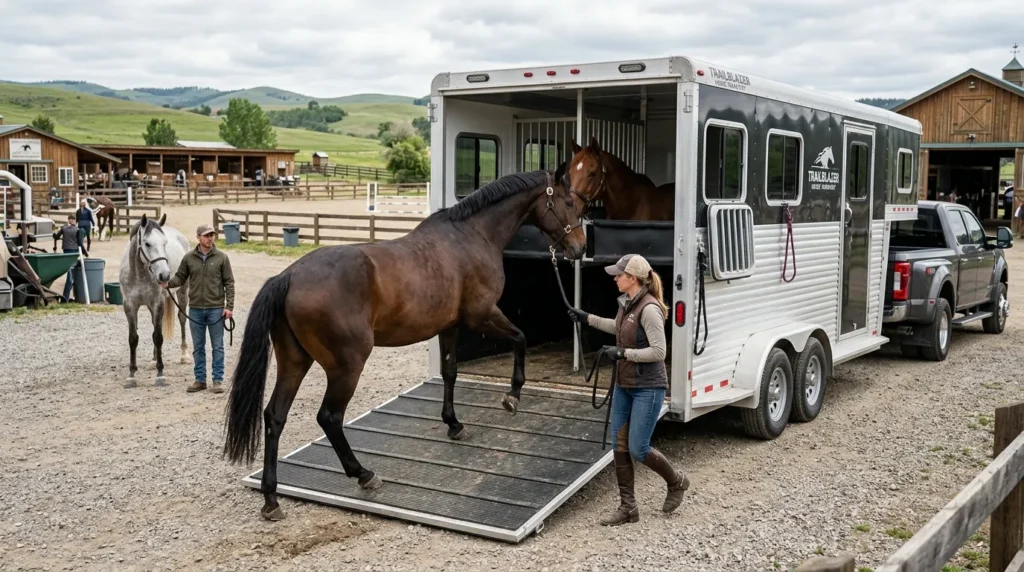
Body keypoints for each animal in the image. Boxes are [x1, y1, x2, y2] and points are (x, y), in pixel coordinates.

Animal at [119, 213, 190, 388]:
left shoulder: (158, 303)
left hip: (183, 292)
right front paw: (131, 375)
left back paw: (184, 355)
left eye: (164, 243)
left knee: (182, 319)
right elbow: (133, 338)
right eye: (147, 243)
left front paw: (160, 374)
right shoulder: (130, 306)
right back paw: (153, 359)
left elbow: (158, 337)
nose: (165, 275)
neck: (139, 273)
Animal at [222, 169, 587, 521]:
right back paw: (363, 474)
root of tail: (290, 276)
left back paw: (271, 499)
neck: (471, 235)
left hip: (295, 362)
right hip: (346, 366)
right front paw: (512, 396)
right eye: (569, 203)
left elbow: (451, 372)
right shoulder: (482, 316)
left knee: (275, 417)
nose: (579, 249)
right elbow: (520, 339)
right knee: (329, 417)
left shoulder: (450, 326)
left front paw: (454, 424)